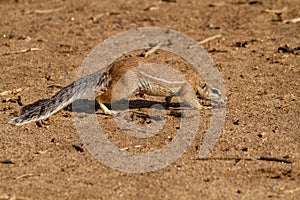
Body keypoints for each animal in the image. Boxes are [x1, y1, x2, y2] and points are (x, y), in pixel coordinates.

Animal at [8, 56, 220, 126]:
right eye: (216, 91)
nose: (224, 100)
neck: (197, 79)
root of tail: (110, 68)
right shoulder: (187, 89)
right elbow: (193, 101)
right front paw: (206, 108)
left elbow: (169, 97)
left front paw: (168, 104)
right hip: (124, 88)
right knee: (100, 96)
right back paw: (109, 111)